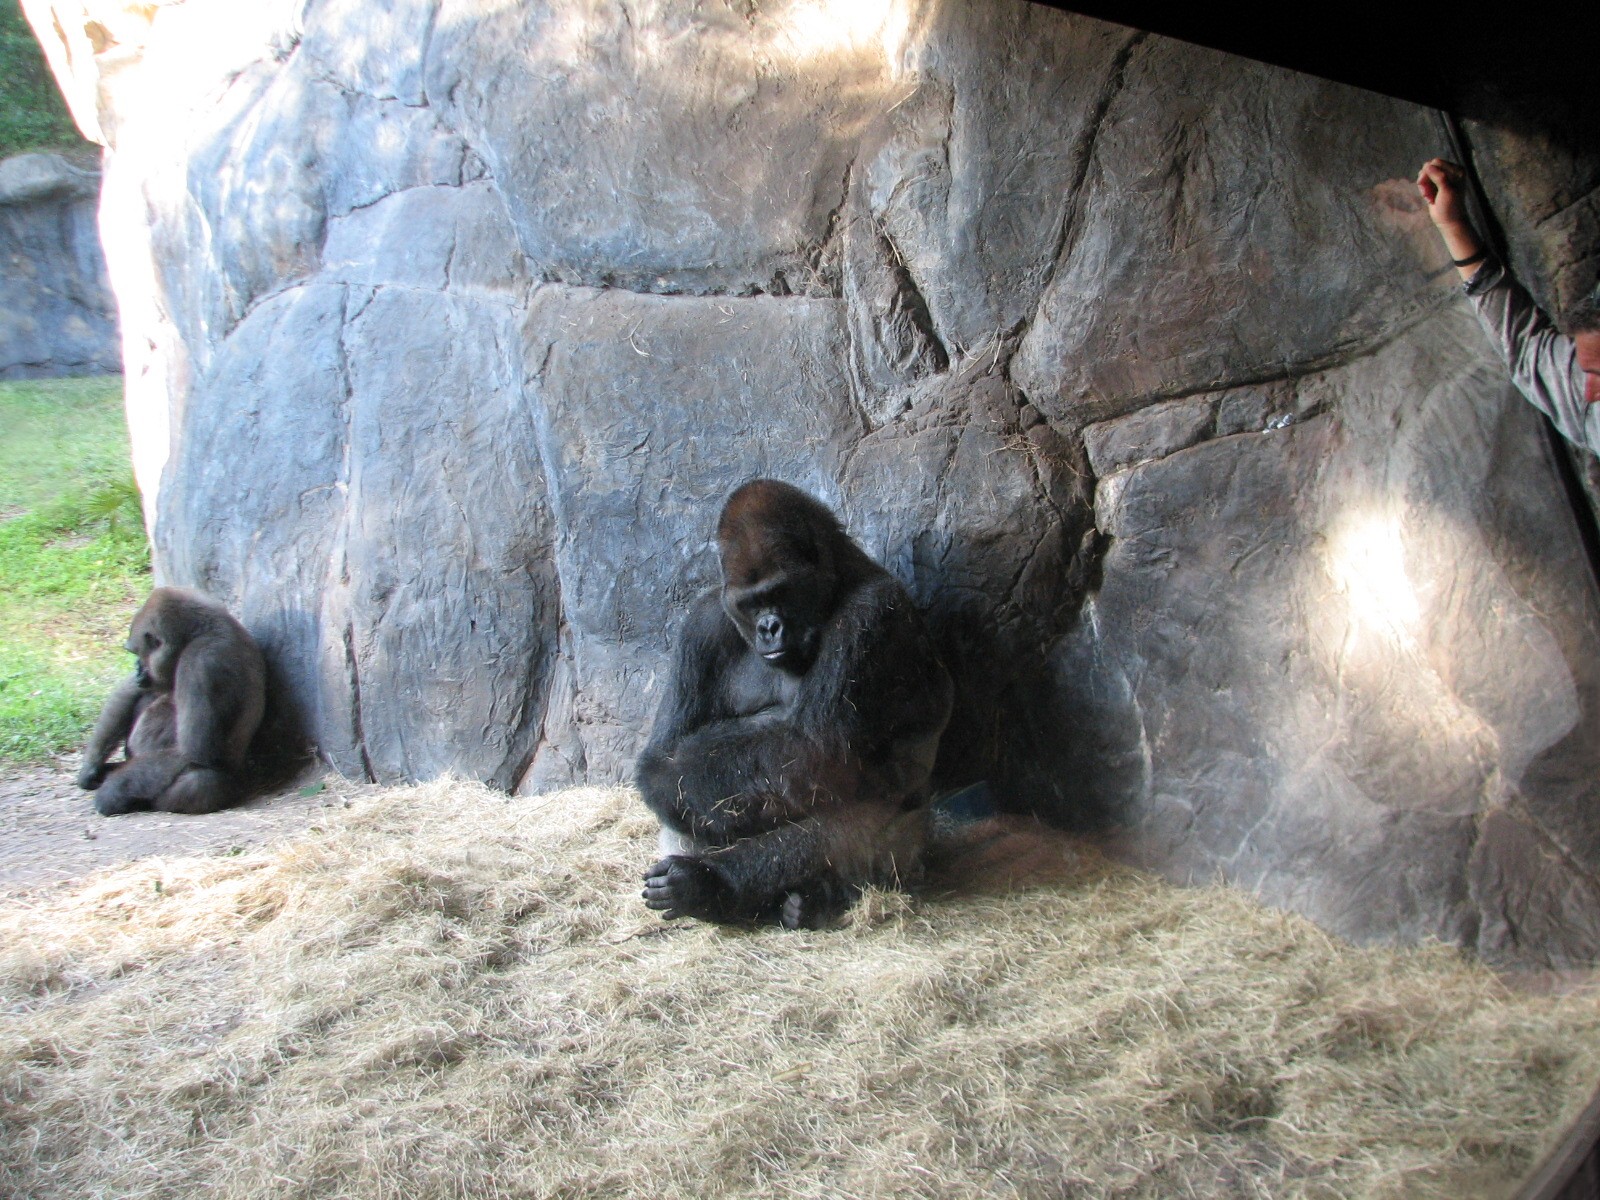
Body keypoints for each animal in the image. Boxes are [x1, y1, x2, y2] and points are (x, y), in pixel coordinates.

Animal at [76, 586, 266, 816]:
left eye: (136, 652)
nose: (137, 668)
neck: (201, 631)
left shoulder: (202, 663)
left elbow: (194, 751)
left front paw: (112, 791)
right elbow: (130, 690)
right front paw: (91, 767)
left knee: (202, 781)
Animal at [636, 479, 954, 928]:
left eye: (780, 592)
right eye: (750, 604)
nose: (769, 628)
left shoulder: (871, 614)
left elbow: (813, 754)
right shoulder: (703, 623)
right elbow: (664, 758)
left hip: (907, 855)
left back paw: (718, 886)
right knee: (684, 801)